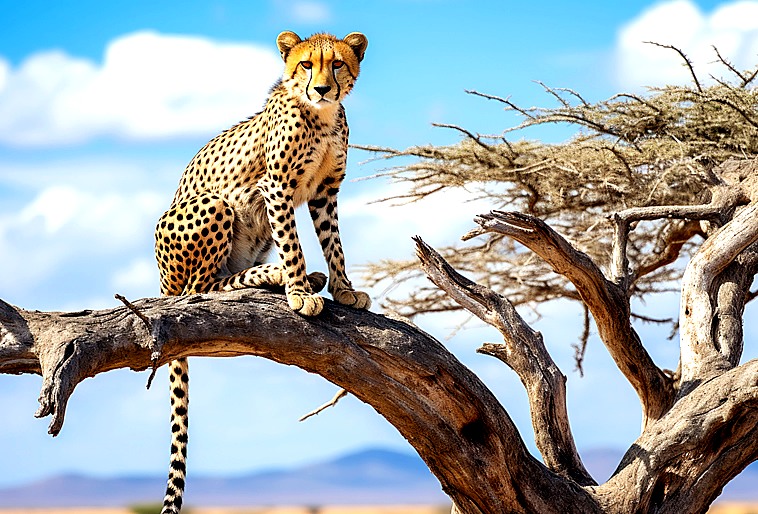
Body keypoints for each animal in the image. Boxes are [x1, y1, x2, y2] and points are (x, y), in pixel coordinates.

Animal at [153, 31, 370, 514]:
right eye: (306, 65)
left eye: (337, 64)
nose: (322, 89)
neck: (321, 115)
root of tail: (161, 283)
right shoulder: (275, 188)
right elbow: (295, 247)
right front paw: (299, 293)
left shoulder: (325, 191)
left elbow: (333, 244)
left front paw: (343, 289)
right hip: (216, 205)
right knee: (203, 288)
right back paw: (277, 279)